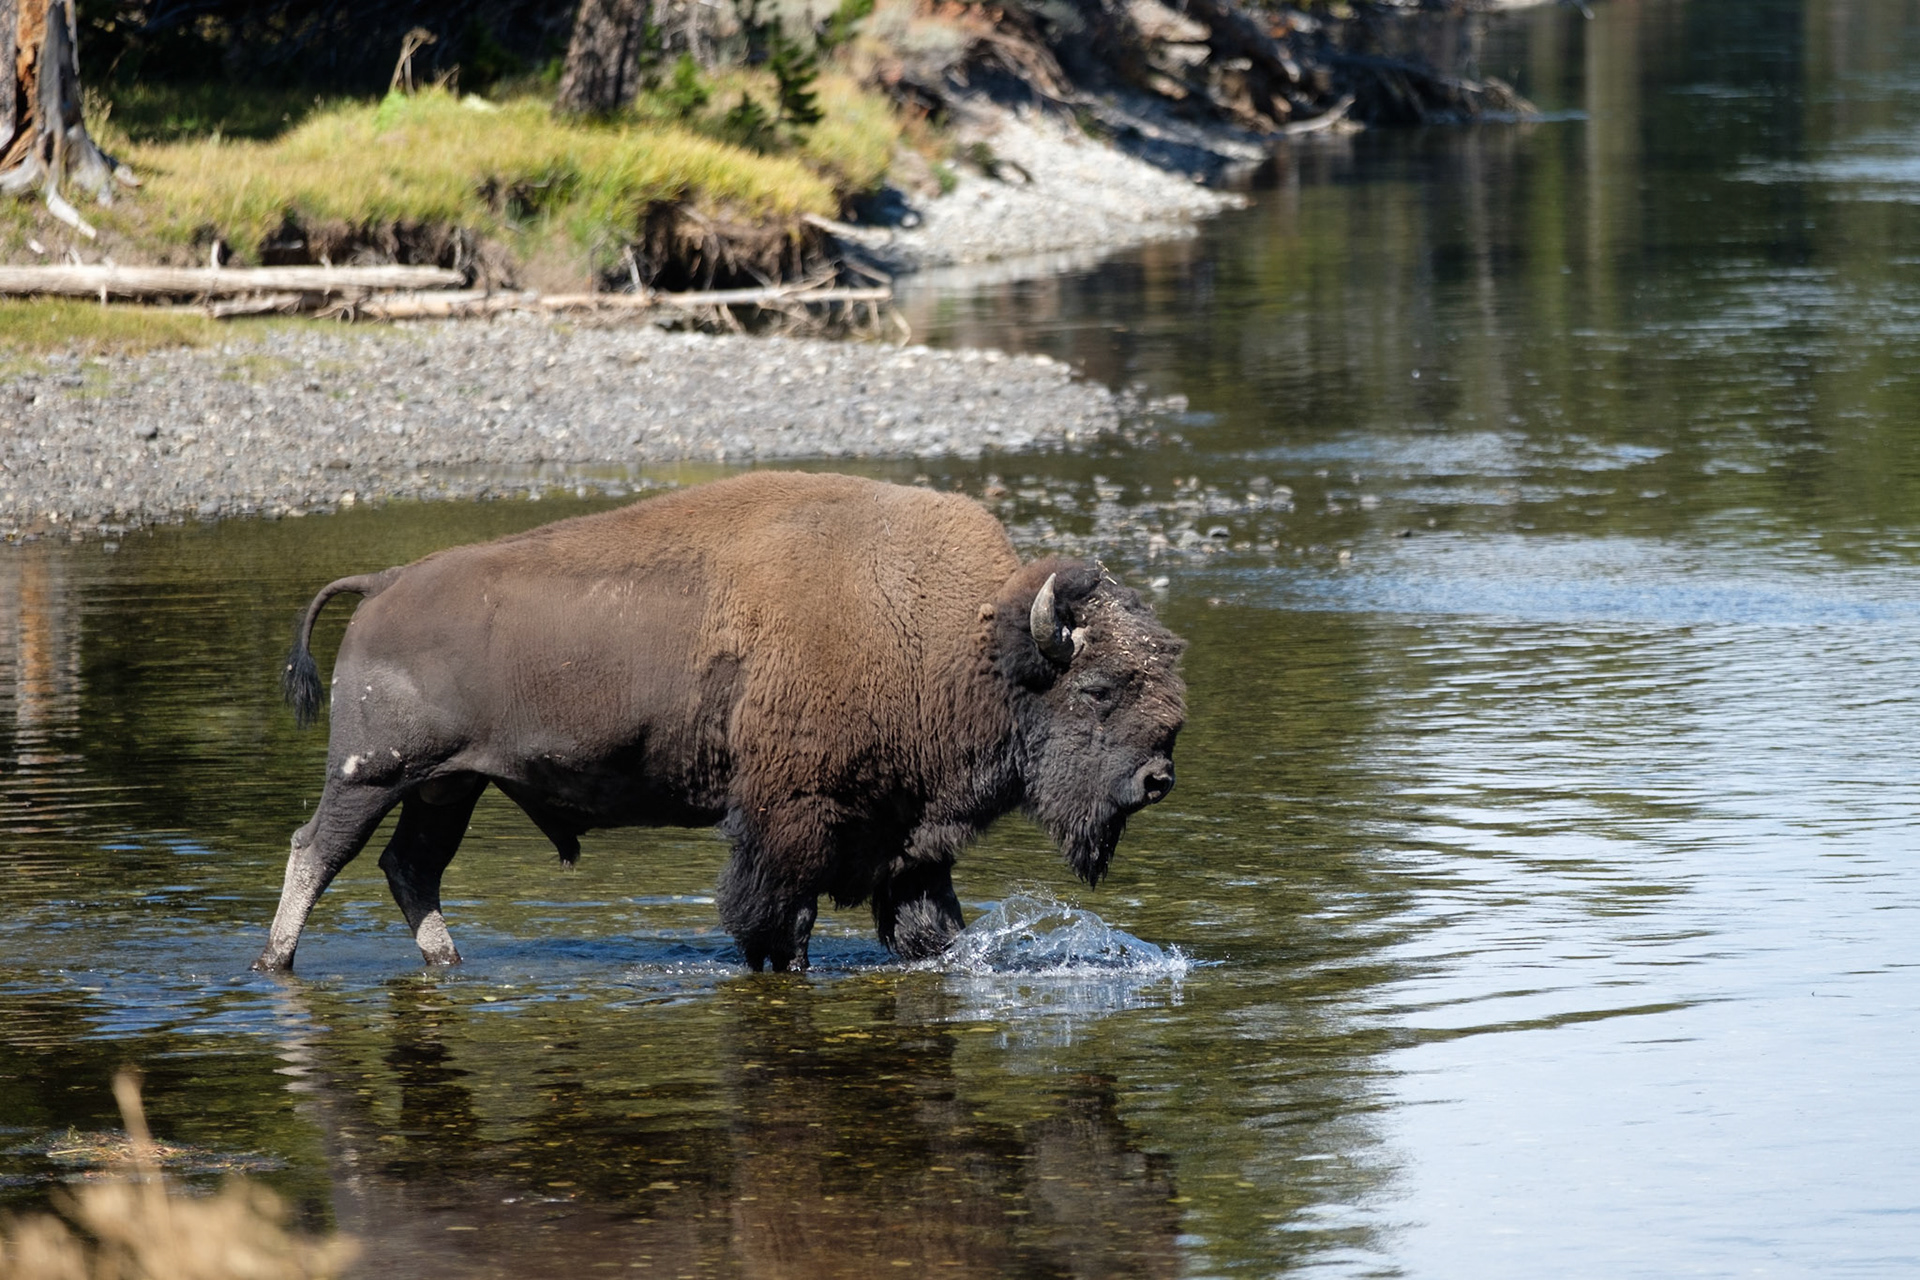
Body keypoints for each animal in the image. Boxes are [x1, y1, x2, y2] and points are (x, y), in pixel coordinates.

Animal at [254, 470, 1186, 973]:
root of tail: (384, 583)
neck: (956, 634)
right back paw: (277, 963)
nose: (1158, 779)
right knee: (317, 851)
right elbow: (775, 920)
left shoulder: (908, 841)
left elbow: (927, 926)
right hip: (375, 773)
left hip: (448, 786)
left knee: (410, 868)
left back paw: (446, 963)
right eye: (1098, 688)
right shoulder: (790, 823)